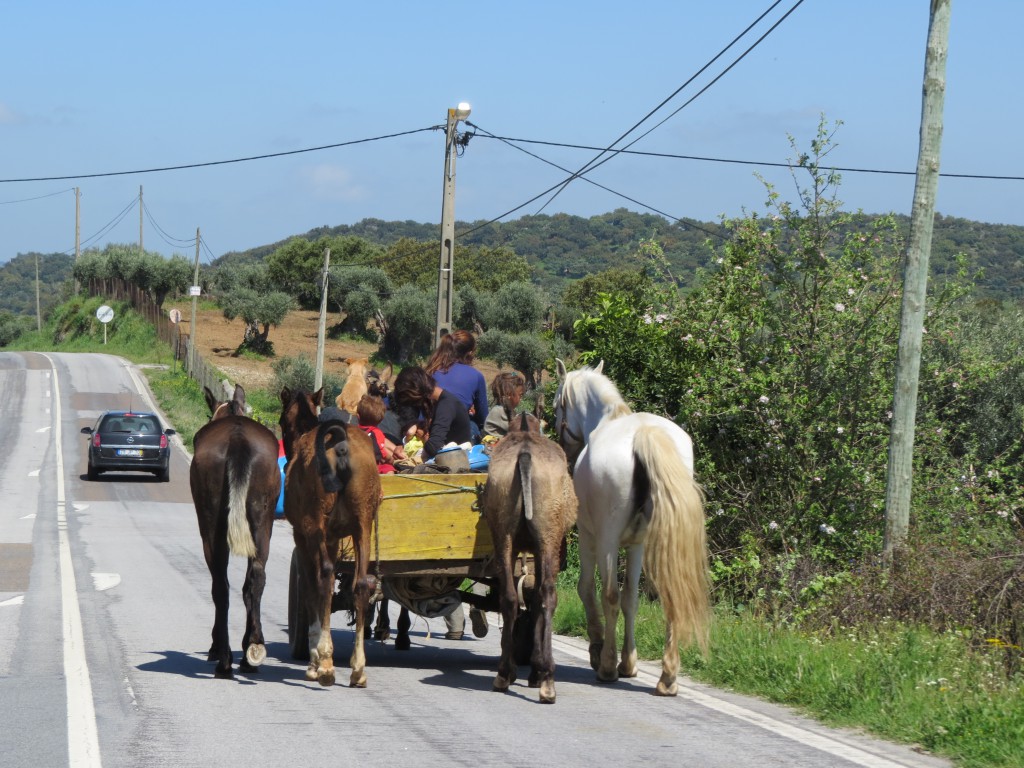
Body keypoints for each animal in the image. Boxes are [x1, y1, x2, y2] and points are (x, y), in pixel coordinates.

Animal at [190, 385, 280, 679]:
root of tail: (238, 440)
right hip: (262, 525)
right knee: (256, 579)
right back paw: (252, 650)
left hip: (211, 529)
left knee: (220, 586)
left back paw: (224, 659)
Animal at [280, 387, 385, 688]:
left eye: (282, 421)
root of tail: (339, 445)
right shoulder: (335, 538)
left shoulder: (303, 535)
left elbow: (311, 588)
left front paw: (315, 658)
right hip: (363, 526)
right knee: (361, 584)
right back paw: (358, 668)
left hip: (314, 524)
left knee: (324, 578)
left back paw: (326, 663)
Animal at [479, 415, 577, 704]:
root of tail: (525, 455)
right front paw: (535, 670)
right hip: (548, 537)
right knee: (547, 596)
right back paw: (545, 677)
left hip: (504, 535)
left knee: (510, 598)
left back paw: (504, 673)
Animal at [557, 360, 708, 696]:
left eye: (557, 402)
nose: (565, 448)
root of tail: (644, 433)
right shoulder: (637, 545)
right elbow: (631, 599)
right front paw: (629, 662)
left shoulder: (589, 538)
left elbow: (589, 589)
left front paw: (600, 650)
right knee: (669, 596)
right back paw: (667, 677)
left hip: (607, 541)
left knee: (609, 595)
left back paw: (606, 668)